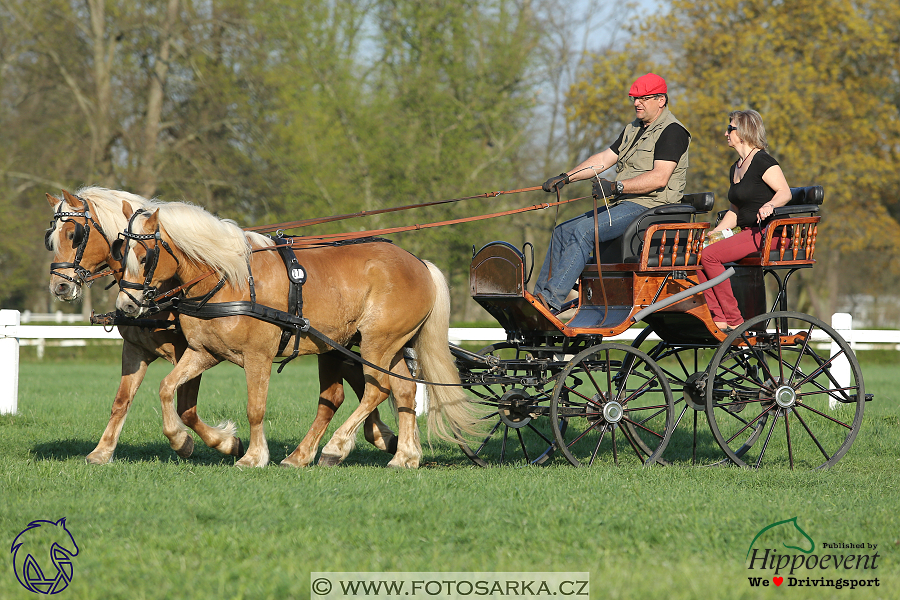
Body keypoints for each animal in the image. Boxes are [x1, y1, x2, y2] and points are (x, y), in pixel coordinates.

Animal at [45, 188, 398, 464]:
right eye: (51, 238)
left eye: (73, 234)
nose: (60, 287)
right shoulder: (136, 349)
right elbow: (122, 401)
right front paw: (102, 451)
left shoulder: (187, 349)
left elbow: (186, 407)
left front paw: (218, 443)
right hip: (336, 343)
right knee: (355, 385)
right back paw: (380, 437)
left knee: (364, 385)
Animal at [114, 202, 478, 468]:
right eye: (120, 255)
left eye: (144, 257)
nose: (126, 305)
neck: (229, 279)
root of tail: (419, 263)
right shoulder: (203, 352)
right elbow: (166, 388)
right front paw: (182, 441)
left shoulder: (258, 357)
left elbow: (255, 407)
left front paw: (253, 457)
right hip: (391, 347)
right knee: (403, 390)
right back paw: (403, 456)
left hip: (377, 344)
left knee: (378, 390)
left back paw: (335, 448)